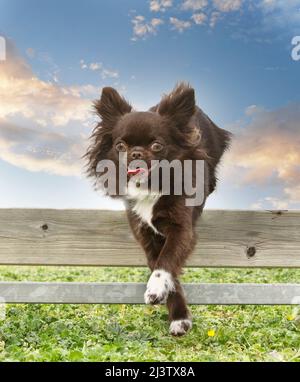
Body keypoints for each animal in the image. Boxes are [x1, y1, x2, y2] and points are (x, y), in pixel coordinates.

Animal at [85, 82, 231, 336]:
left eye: (156, 145)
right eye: (120, 146)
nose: (135, 153)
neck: (151, 186)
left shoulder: (182, 229)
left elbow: (166, 261)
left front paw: (156, 289)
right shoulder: (145, 233)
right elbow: (161, 264)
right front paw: (177, 314)